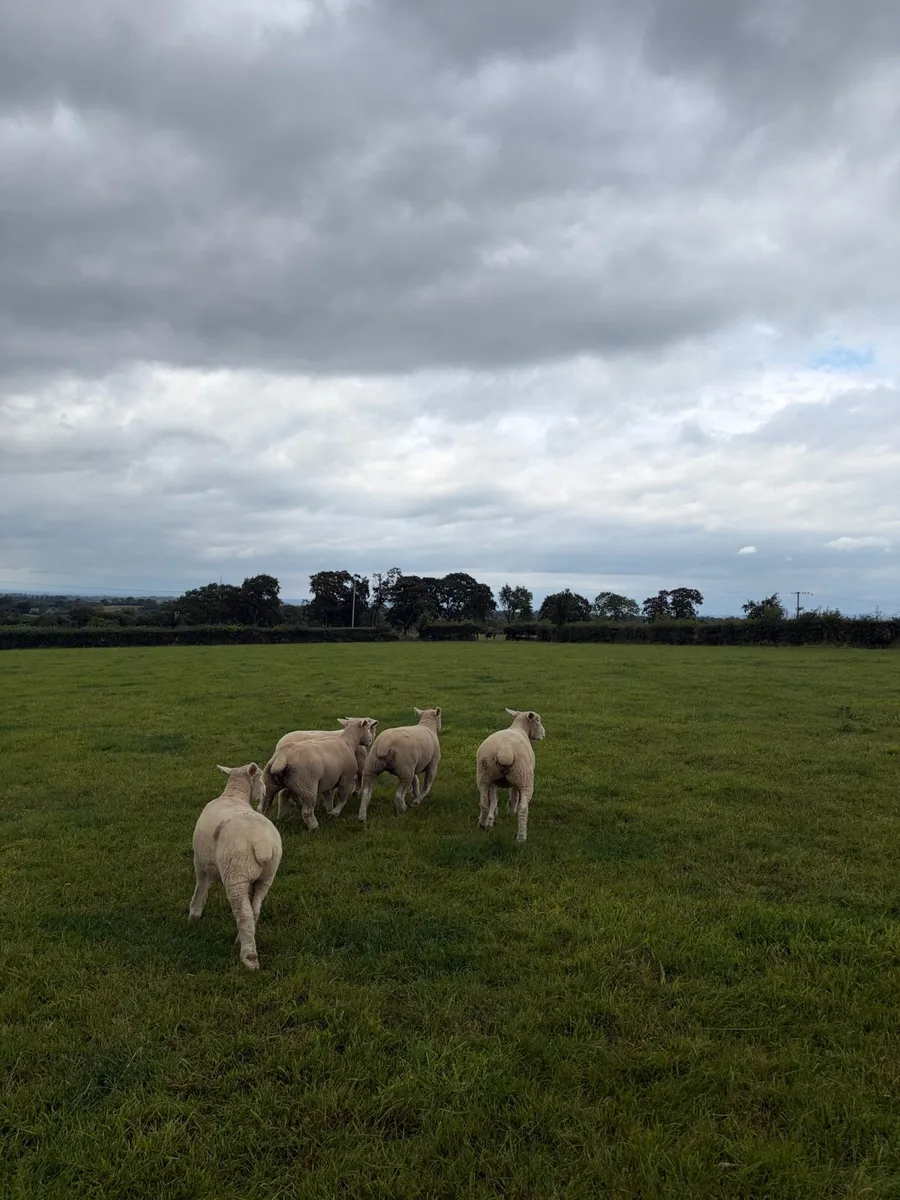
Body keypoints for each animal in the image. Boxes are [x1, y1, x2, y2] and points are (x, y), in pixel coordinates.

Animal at [188, 763, 282, 971]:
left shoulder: (200, 861)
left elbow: (201, 887)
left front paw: (193, 915)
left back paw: (249, 958)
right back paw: (242, 940)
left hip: (235, 874)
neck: (233, 795)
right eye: (261, 778)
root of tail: (262, 844)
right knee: (254, 910)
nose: (264, 792)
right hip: (266, 876)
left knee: (244, 913)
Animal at [475, 708, 546, 843]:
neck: (519, 728)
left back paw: (483, 824)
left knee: (484, 802)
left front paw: (493, 816)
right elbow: (514, 794)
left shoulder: (494, 783)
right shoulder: (517, 781)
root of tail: (505, 751)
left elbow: (494, 799)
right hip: (524, 778)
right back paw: (521, 837)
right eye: (538, 720)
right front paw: (512, 810)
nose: (543, 734)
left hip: (484, 776)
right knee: (523, 809)